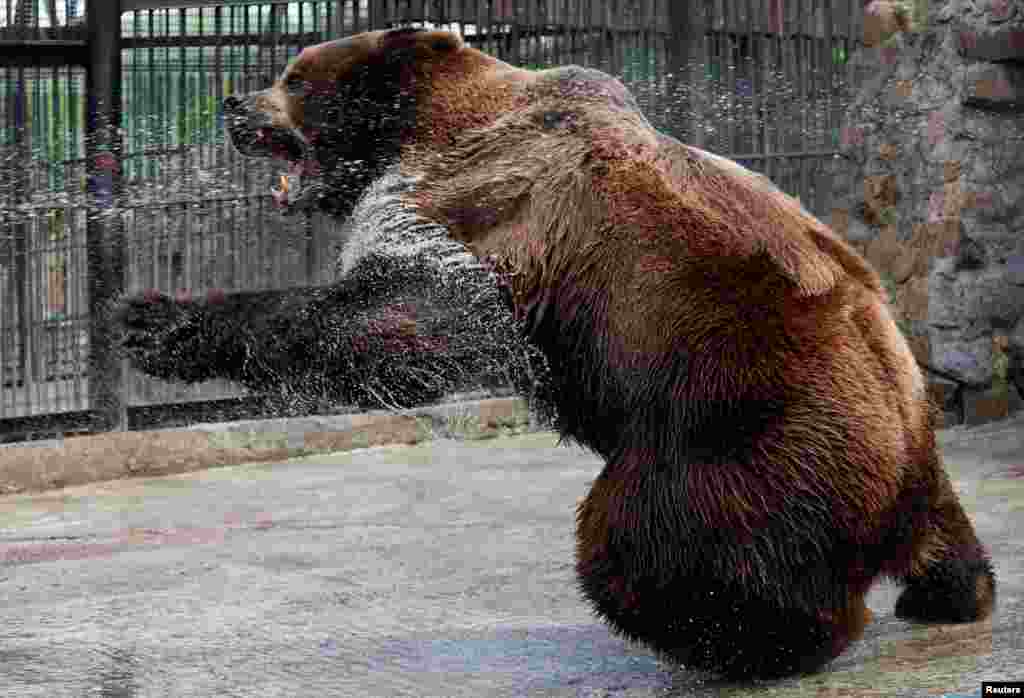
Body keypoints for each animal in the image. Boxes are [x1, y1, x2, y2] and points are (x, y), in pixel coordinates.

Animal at [219, 27, 996, 678]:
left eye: (293, 76)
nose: (231, 103)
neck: (421, 128)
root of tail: (899, 474)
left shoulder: (483, 203)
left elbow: (408, 320)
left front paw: (194, 327)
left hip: (747, 422)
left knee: (645, 541)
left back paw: (740, 637)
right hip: (899, 435)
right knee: (949, 539)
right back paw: (948, 592)